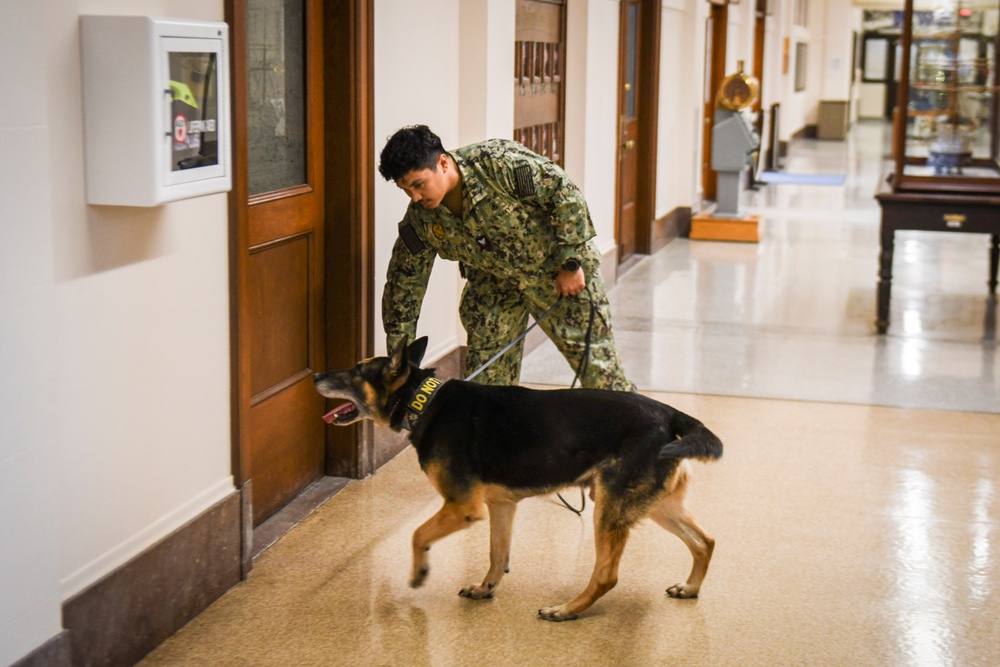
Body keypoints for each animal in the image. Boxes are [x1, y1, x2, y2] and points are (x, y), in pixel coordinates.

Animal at [312, 336, 720, 624]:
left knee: (607, 576)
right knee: (705, 542)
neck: (422, 400)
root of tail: (669, 413)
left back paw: (567, 610)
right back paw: (690, 588)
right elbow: (497, 554)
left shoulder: (462, 507)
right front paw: (486, 588)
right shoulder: (500, 506)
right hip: (651, 505)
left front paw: (418, 572)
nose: (315, 376)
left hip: (610, 510)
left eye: (354, 372)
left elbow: (417, 534)